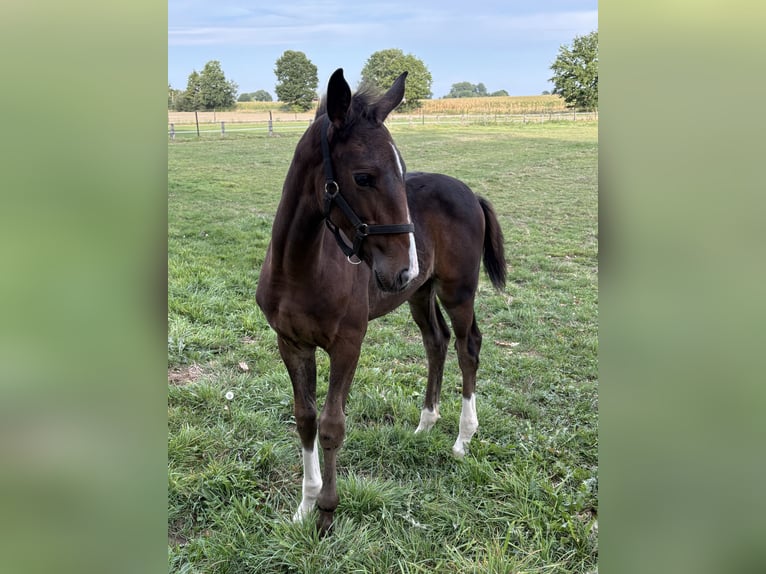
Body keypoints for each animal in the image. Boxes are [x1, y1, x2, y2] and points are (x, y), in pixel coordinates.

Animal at [256, 68, 507, 534]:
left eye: (402, 170)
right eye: (363, 177)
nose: (404, 268)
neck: (301, 268)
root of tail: (469, 192)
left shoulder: (348, 343)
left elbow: (332, 424)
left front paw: (327, 511)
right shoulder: (291, 343)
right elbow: (305, 419)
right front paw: (305, 506)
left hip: (457, 290)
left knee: (468, 347)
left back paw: (463, 438)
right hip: (420, 293)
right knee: (436, 342)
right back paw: (425, 424)